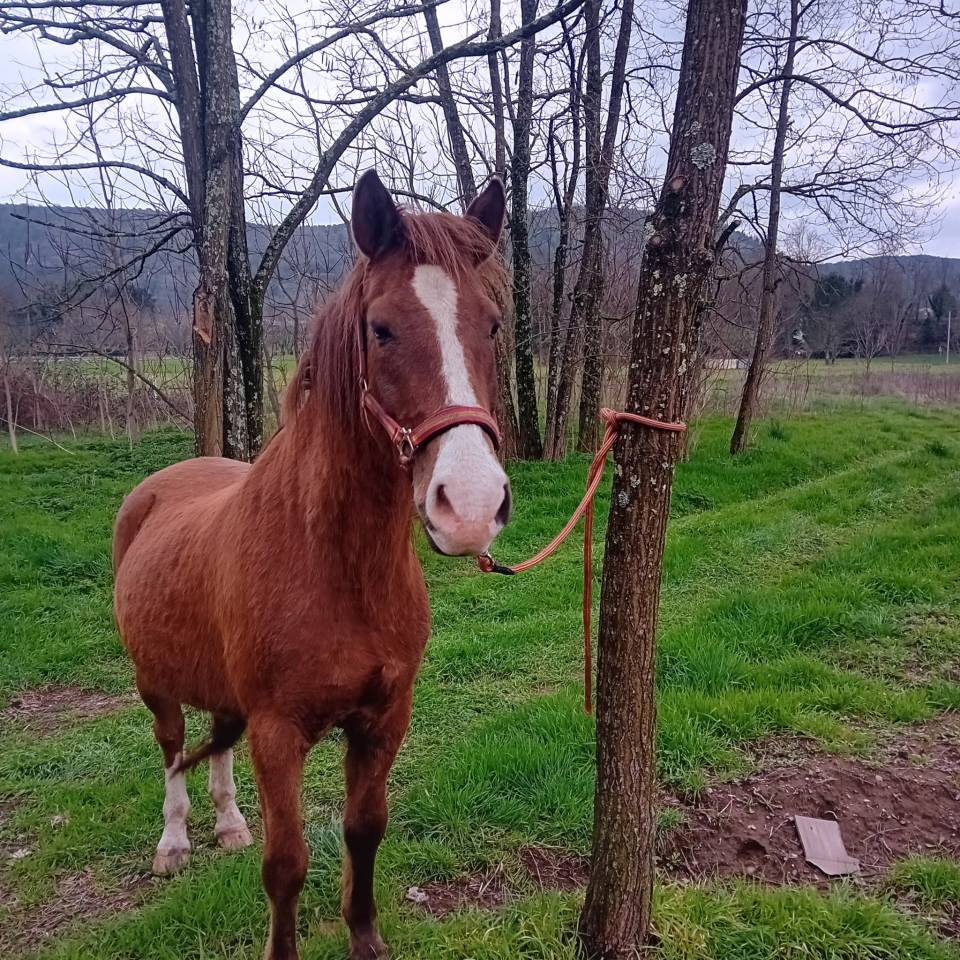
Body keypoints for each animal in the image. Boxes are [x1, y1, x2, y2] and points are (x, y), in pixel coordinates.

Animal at [112, 170, 511, 960]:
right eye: (380, 328)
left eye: (490, 325)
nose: (472, 505)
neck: (338, 567)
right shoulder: (279, 731)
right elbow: (287, 864)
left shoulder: (384, 718)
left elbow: (364, 832)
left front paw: (366, 938)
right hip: (155, 685)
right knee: (171, 751)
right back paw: (174, 844)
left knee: (216, 745)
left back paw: (229, 825)